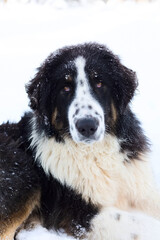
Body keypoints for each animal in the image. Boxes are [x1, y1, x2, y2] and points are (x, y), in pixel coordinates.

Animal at [0, 43, 160, 240]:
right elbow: (142, 224)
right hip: (24, 173)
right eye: (65, 88)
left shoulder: (140, 187)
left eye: (99, 83)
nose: (87, 126)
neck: (97, 153)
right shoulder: (80, 214)